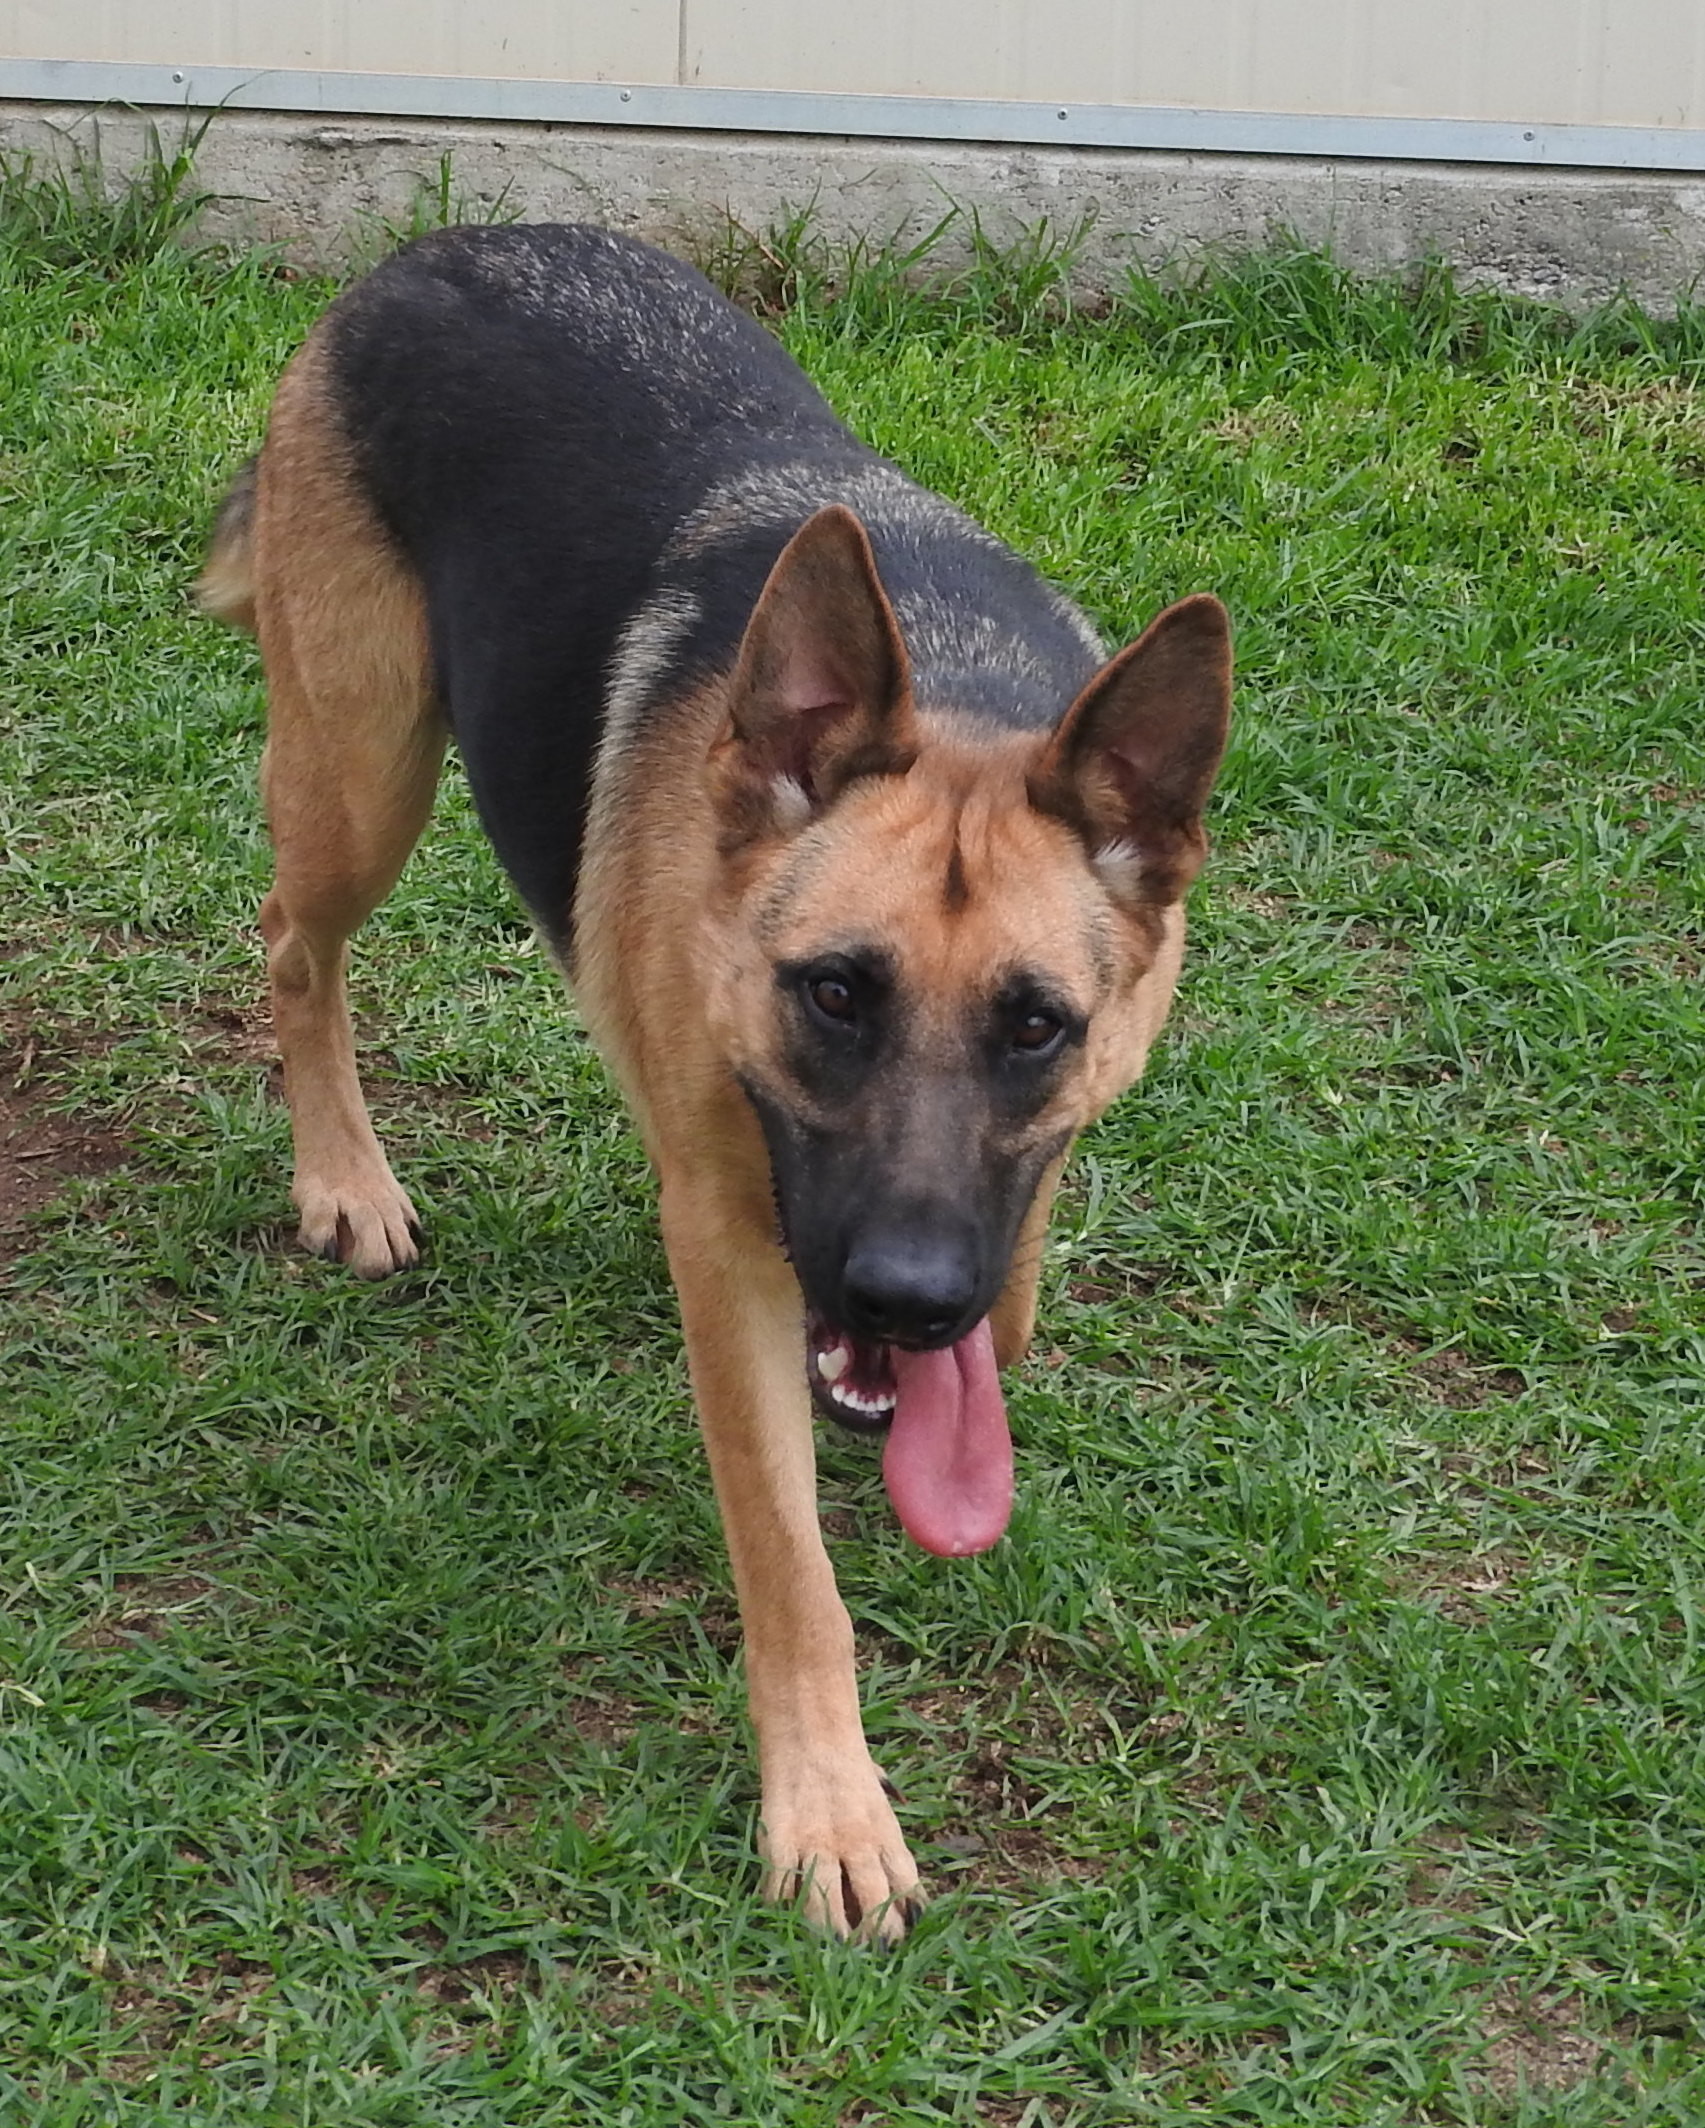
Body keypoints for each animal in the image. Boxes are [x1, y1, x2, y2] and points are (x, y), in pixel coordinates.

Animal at [199, 223, 1231, 1943]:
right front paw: (829, 1810)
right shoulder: (734, 1253)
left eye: (1037, 1027)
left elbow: (1015, 1292)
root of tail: (433, 246)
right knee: (294, 943)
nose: (904, 1301)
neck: (958, 687)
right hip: (361, 774)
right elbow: (791, 1566)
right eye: (834, 994)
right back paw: (344, 1177)